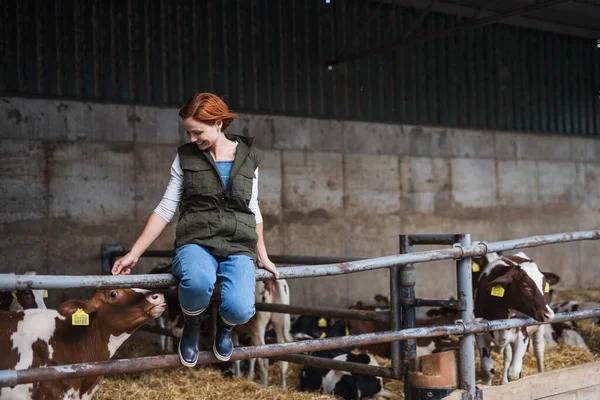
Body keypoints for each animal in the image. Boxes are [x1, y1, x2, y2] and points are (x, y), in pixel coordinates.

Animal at [474, 252, 564, 386]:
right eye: (525, 285)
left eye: (545, 286)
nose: (549, 315)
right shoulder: (479, 332)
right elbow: (487, 369)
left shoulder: (522, 334)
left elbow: (514, 372)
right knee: (507, 356)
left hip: (539, 329)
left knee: (538, 351)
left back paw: (541, 373)